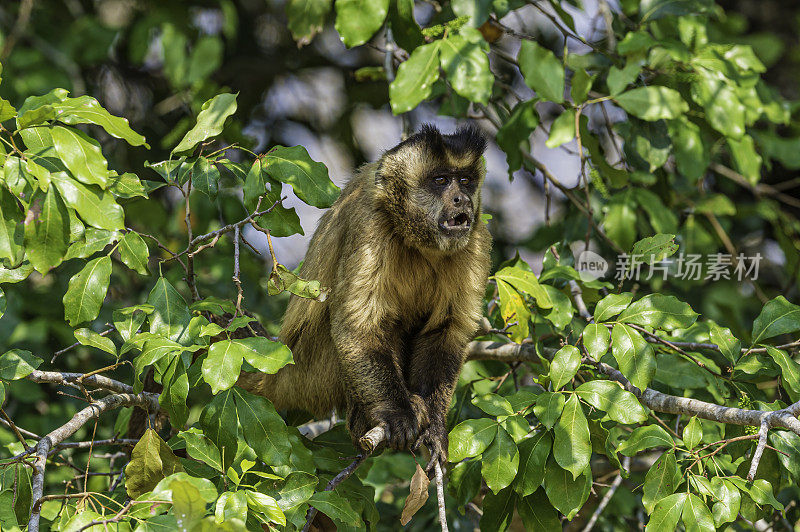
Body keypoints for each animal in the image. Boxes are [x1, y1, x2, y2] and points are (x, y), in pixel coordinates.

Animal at [238, 123, 490, 470]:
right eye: (440, 180)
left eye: (465, 181)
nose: (460, 198)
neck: (416, 238)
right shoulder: (370, 223)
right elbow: (359, 328)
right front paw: (397, 415)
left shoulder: (475, 240)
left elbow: (446, 333)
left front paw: (435, 428)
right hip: (309, 369)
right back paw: (366, 420)